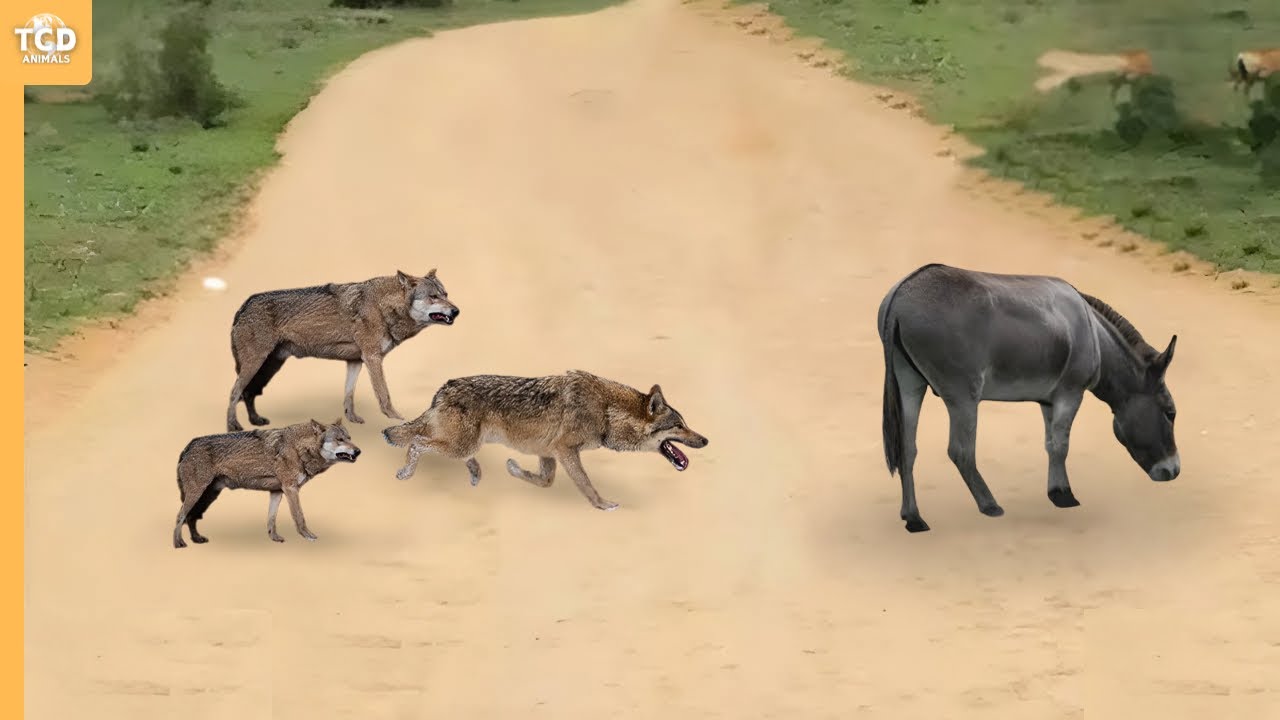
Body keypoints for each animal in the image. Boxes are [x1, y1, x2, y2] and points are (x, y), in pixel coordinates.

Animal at [172, 419, 360, 548]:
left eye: (349, 438)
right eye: (340, 439)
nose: (358, 451)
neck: (299, 449)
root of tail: (188, 446)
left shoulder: (277, 491)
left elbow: (271, 519)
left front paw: (274, 538)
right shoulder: (291, 489)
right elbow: (299, 517)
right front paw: (308, 536)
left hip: (208, 496)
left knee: (191, 516)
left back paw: (197, 539)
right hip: (196, 493)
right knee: (181, 515)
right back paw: (178, 543)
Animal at [225, 270, 459, 432]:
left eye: (446, 294)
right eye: (433, 296)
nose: (456, 311)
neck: (383, 307)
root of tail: (243, 306)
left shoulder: (356, 361)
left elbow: (348, 394)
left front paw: (351, 419)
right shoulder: (372, 358)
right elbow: (384, 394)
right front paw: (397, 417)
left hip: (269, 367)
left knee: (248, 392)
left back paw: (256, 420)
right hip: (254, 364)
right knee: (235, 391)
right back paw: (233, 426)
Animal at [382, 371, 709, 511]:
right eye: (679, 426)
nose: (706, 440)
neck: (607, 411)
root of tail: (444, 387)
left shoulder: (548, 452)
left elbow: (544, 481)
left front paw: (514, 468)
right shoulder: (565, 451)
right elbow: (587, 485)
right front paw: (603, 505)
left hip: (466, 443)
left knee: (444, 449)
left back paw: (475, 475)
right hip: (460, 443)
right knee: (417, 442)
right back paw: (405, 473)